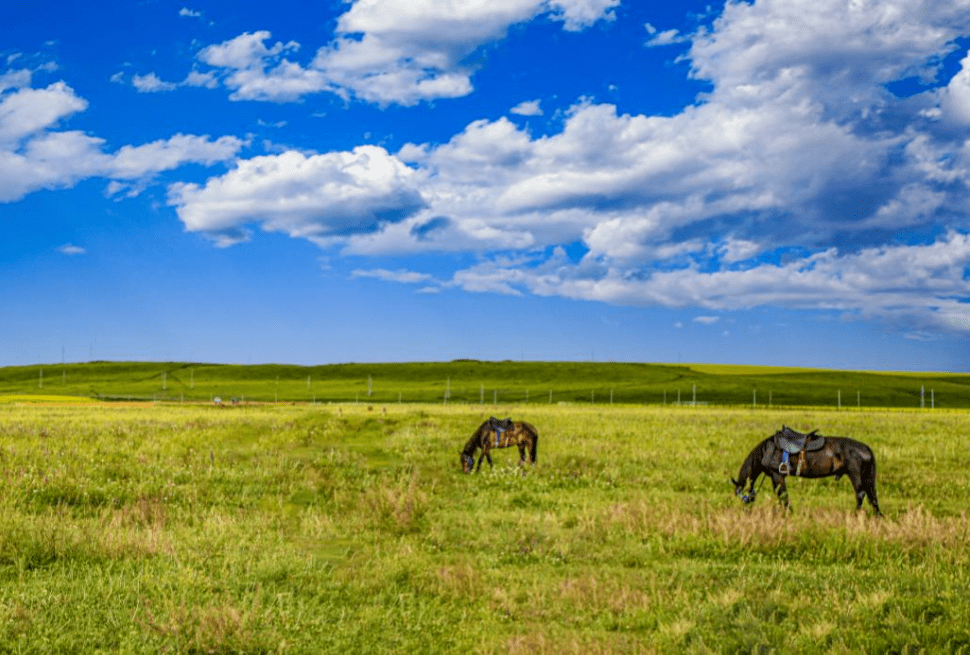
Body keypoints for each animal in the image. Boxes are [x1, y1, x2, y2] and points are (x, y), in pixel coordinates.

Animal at [728, 428, 880, 516]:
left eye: (739, 495)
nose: (745, 510)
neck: (766, 450)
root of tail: (866, 449)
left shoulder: (777, 475)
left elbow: (783, 495)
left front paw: (788, 512)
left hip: (855, 474)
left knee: (860, 494)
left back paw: (856, 514)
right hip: (866, 477)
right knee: (872, 495)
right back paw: (877, 516)